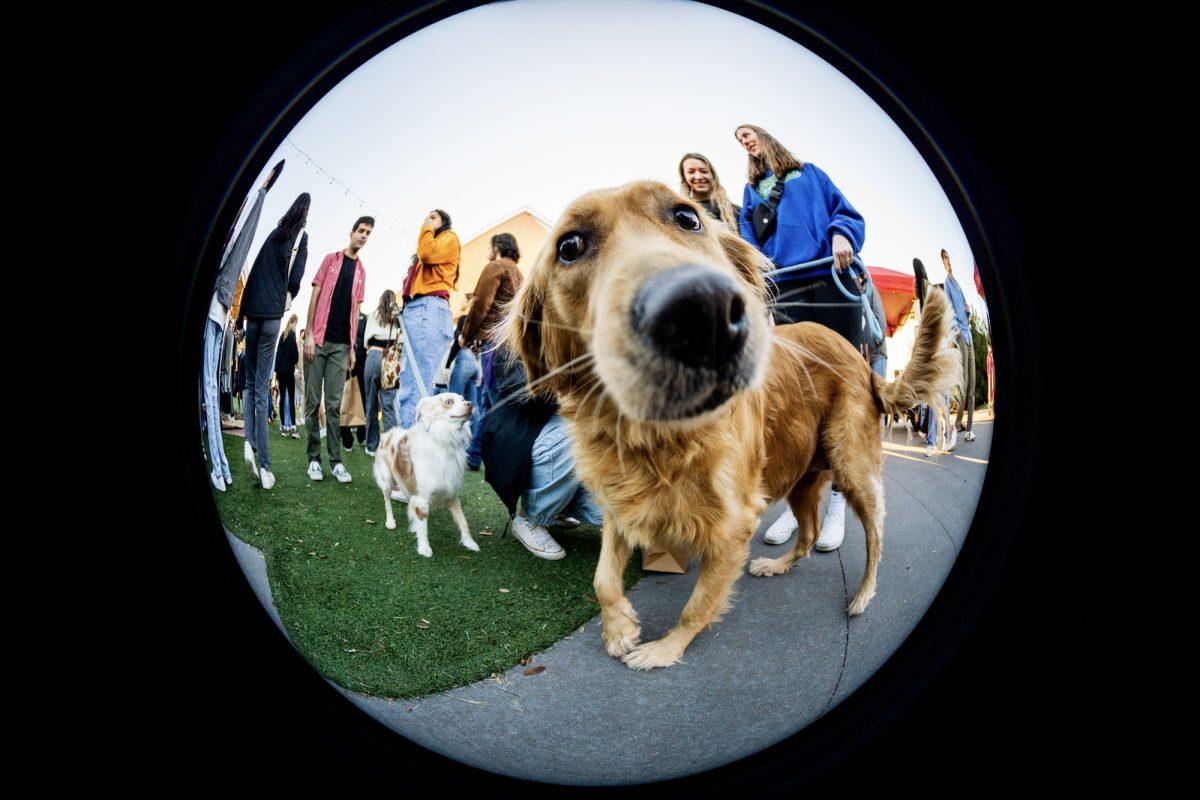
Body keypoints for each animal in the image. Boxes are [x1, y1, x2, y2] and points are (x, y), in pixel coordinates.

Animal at [369, 393, 477, 556]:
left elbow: (463, 521)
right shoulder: (422, 498)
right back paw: (390, 522)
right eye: (449, 402)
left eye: (463, 399)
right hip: (387, 481)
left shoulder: (452, 493)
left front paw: (469, 542)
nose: (470, 404)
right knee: (387, 502)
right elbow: (422, 525)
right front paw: (424, 548)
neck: (445, 442)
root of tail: (388, 433)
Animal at [501, 181, 960, 671]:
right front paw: (619, 628)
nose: (699, 312)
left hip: (853, 465)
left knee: (875, 535)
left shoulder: (732, 525)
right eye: (569, 246)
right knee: (808, 532)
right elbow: (603, 577)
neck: (659, 441)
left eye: (688, 218)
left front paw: (664, 649)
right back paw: (777, 565)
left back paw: (862, 595)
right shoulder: (622, 504)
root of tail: (859, 359)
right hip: (801, 474)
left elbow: (697, 605)